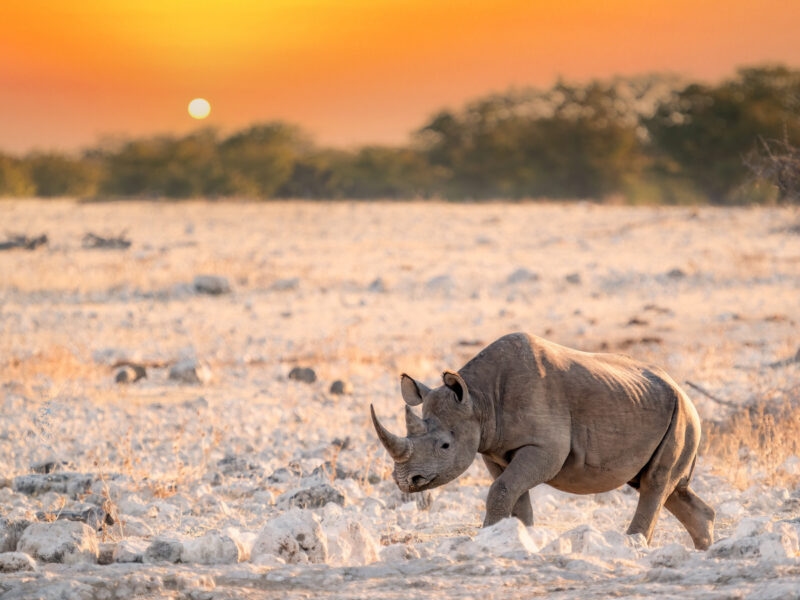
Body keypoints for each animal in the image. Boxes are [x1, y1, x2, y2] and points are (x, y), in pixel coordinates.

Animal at [371, 332, 715, 549]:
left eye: (444, 446)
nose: (405, 481)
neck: (479, 400)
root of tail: (682, 390)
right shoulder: (494, 451)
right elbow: (513, 495)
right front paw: (520, 538)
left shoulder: (546, 449)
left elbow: (501, 490)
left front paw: (488, 538)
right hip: (661, 411)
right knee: (662, 486)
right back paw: (704, 550)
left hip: (683, 416)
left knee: (655, 484)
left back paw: (633, 545)